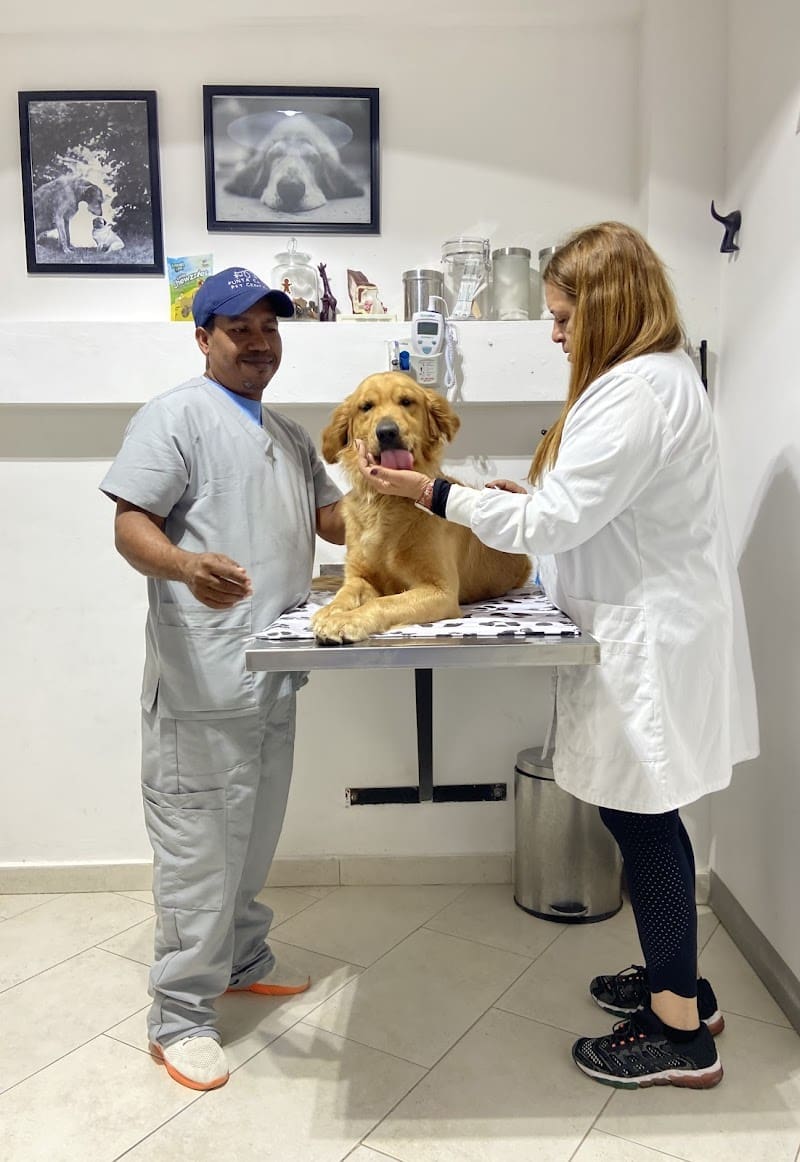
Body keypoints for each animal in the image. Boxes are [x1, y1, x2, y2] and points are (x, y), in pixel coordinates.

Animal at [311, 372, 531, 644]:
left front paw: (347, 620)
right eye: (366, 407)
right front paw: (331, 611)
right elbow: (345, 592)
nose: (387, 432)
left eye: (406, 401)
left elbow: (383, 603)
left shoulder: (440, 590)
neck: (387, 504)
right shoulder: (360, 576)